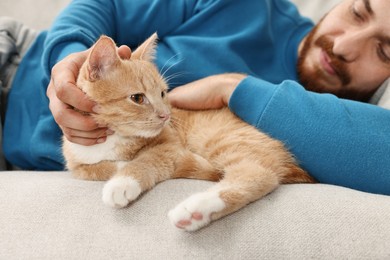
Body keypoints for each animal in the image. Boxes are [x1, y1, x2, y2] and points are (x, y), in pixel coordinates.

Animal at [62, 33, 316, 231]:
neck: (113, 138)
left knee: (259, 174)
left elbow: (146, 160)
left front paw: (122, 181)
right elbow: (94, 170)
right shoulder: (77, 165)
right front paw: (115, 167)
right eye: (137, 98)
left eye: (163, 93)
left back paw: (196, 209)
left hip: (225, 140)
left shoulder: (170, 147)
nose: (166, 115)